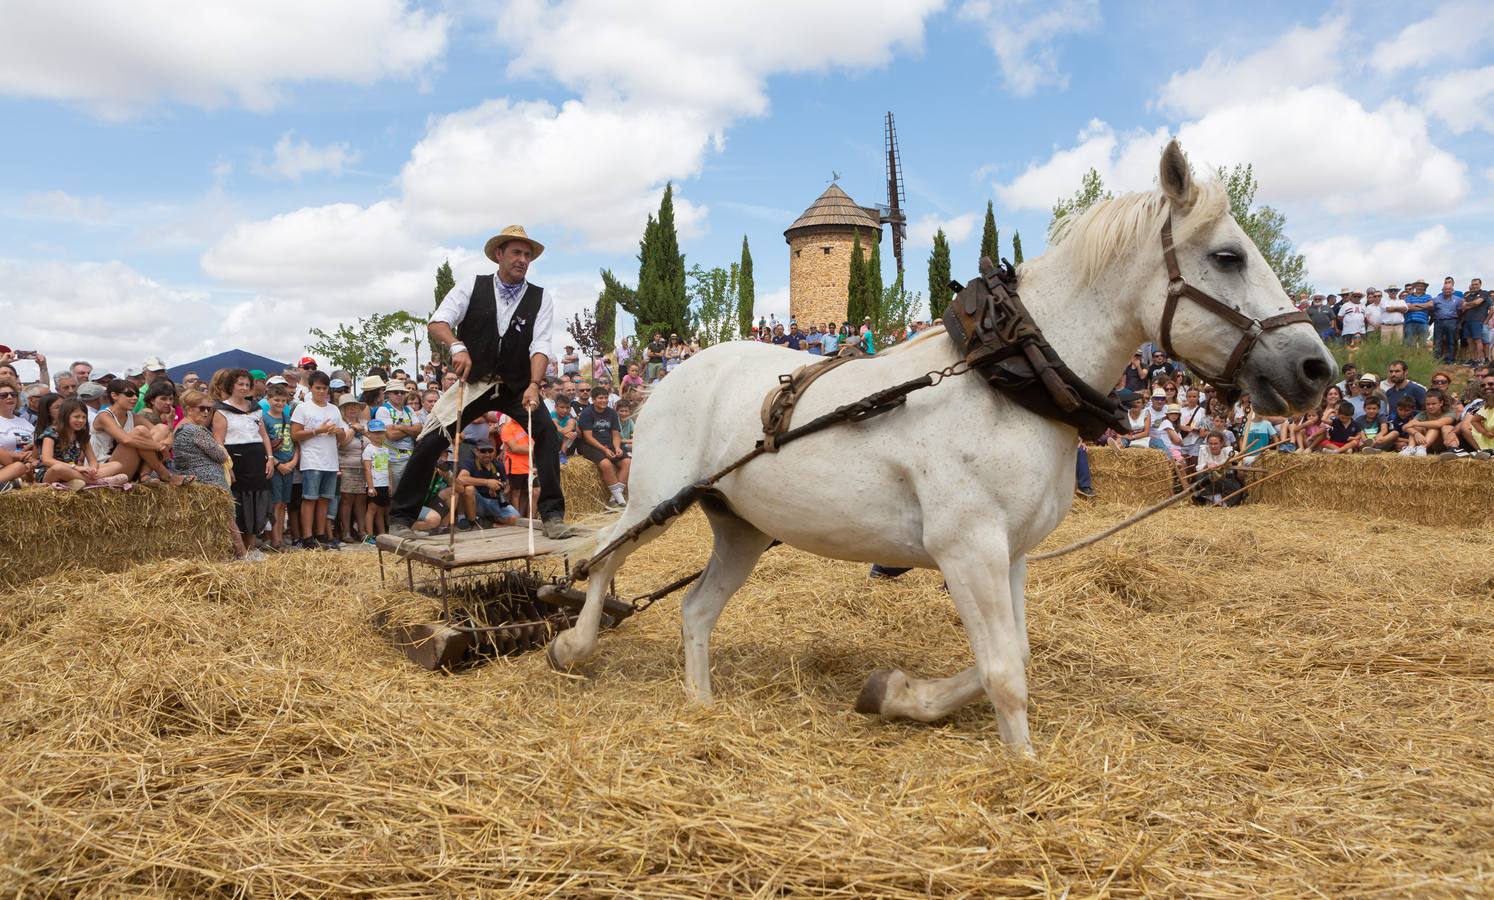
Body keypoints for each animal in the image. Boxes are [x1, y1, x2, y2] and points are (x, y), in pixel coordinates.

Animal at [546, 140, 1332, 750]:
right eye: (1227, 256)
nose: (1315, 368)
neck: (1007, 376)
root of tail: (676, 371)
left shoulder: (1009, 555)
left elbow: (1011, 659)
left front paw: (894, 694)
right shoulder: (968, 549)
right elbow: (1005, 673)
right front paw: (1024, 769)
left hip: (740, 527)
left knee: (694, 610)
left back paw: (700, 704)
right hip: (656, 499)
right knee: (602, 557)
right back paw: (572, 645)